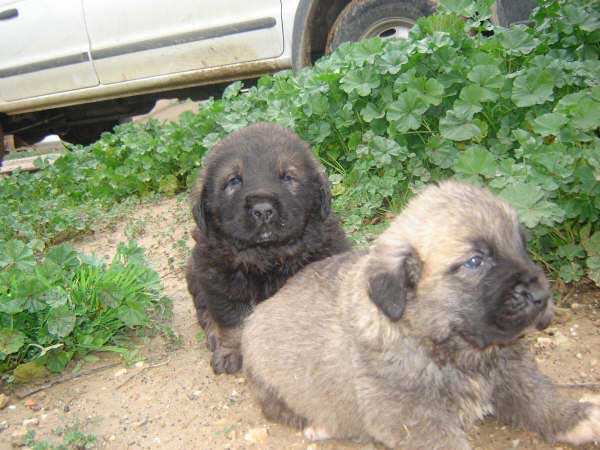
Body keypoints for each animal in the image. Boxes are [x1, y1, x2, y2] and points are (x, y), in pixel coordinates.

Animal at [185, 121, 350, 374]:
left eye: (287, 177)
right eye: (234, 181)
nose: (262, 210)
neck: (267, 254)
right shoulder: (218, 278)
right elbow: (232, 320)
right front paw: (230, 351)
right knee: (204, 310)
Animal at [241, 181, 596, 448]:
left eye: (521, 245)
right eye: (475, 261)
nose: (541, 296)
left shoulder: (512, 368)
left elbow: (539, 395)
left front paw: (577, 417)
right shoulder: (411, 415)